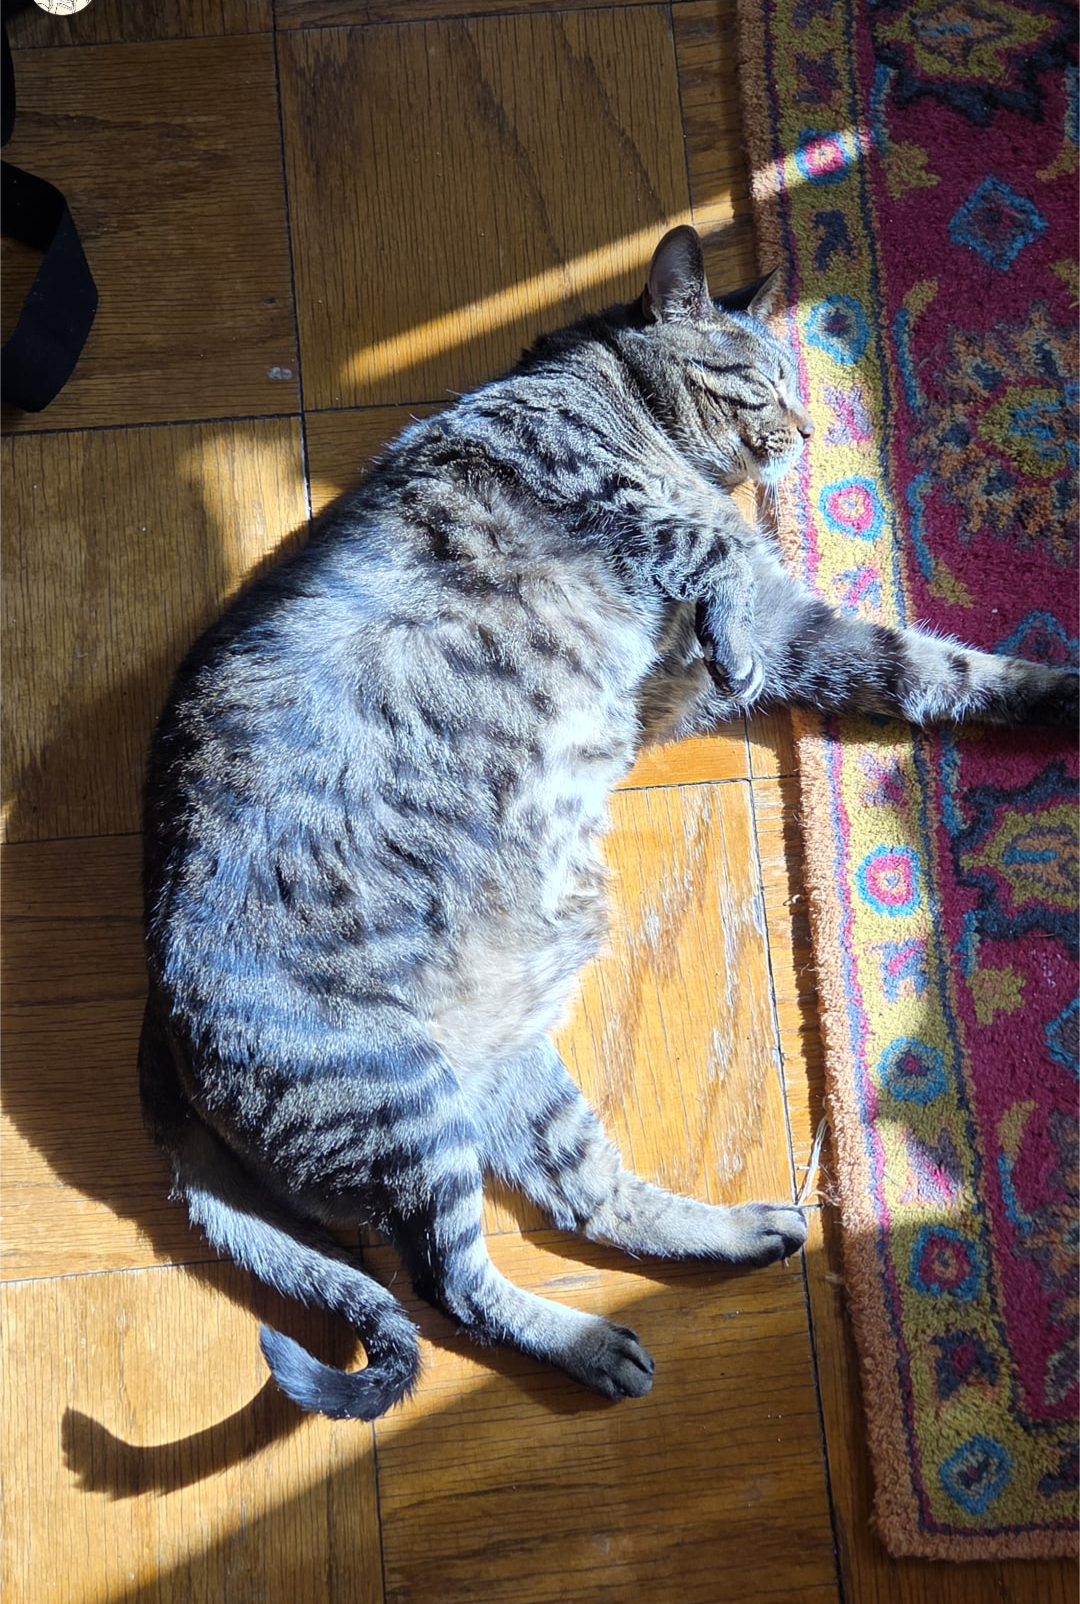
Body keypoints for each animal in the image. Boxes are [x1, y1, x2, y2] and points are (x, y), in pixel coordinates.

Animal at [141, 226, 1078, 1417]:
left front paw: (1057, 691)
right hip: (401, 1108)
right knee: (449, 1288)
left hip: (499, 1078)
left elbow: (937, 666)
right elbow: (721, 562)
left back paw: (730, 1236)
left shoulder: (788, 627)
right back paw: (589, 1342)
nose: (811, 430)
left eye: (797, 384)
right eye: (764, 378)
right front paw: (730, 618)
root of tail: (159, 1032)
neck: (603, 388)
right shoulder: (619, 505)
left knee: (579, 1201)